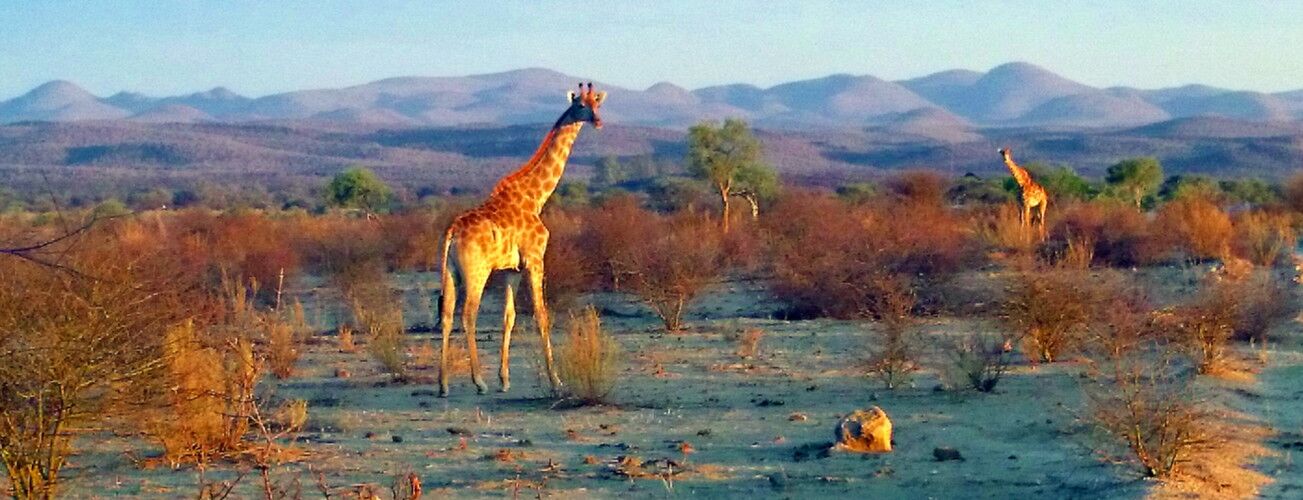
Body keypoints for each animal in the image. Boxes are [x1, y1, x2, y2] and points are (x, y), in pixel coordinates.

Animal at [437, 82, 606, 396]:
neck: (535, 197)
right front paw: (556, 380)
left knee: (446, 315)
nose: (598, 122)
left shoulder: (511, 270)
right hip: (476, 272)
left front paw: (505, 379)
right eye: (580, 105)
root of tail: (452, 233)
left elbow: (510, 316)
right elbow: (541, 314)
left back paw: (443, 384)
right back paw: (478, 381)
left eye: (597, 104)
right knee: (468, 315)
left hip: (449, 272)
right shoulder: (535, 259)